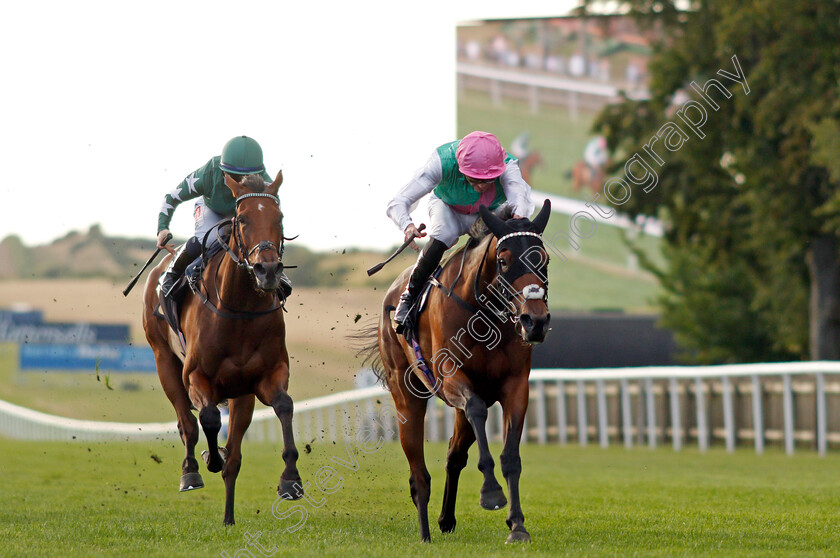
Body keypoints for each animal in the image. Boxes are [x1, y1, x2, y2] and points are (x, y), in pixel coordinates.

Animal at [142, 173, 302, 528]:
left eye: (280, 218)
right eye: (242, 219)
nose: (268, 271)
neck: (240, 310)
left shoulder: (267, 376)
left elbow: (284, 406)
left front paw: (290, 480)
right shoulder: (196, 377)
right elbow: (210, 419)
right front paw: (210, 458)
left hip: (241, 394)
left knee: (235, 454)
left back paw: (229, 517)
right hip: (163, 361)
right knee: (187, 423)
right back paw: (191, 472)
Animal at [360, 202, 552, 548]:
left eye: (543, 259)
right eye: (504, 261)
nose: (536, 322)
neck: (484, 315)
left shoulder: (515, 386)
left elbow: (510, 456)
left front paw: (517, 524)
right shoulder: (450, 379)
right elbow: (475, 411)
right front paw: (491, 492)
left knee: (454, 454)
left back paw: (445, 519)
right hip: (407, 396)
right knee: (418, 472)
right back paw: (424, 532)